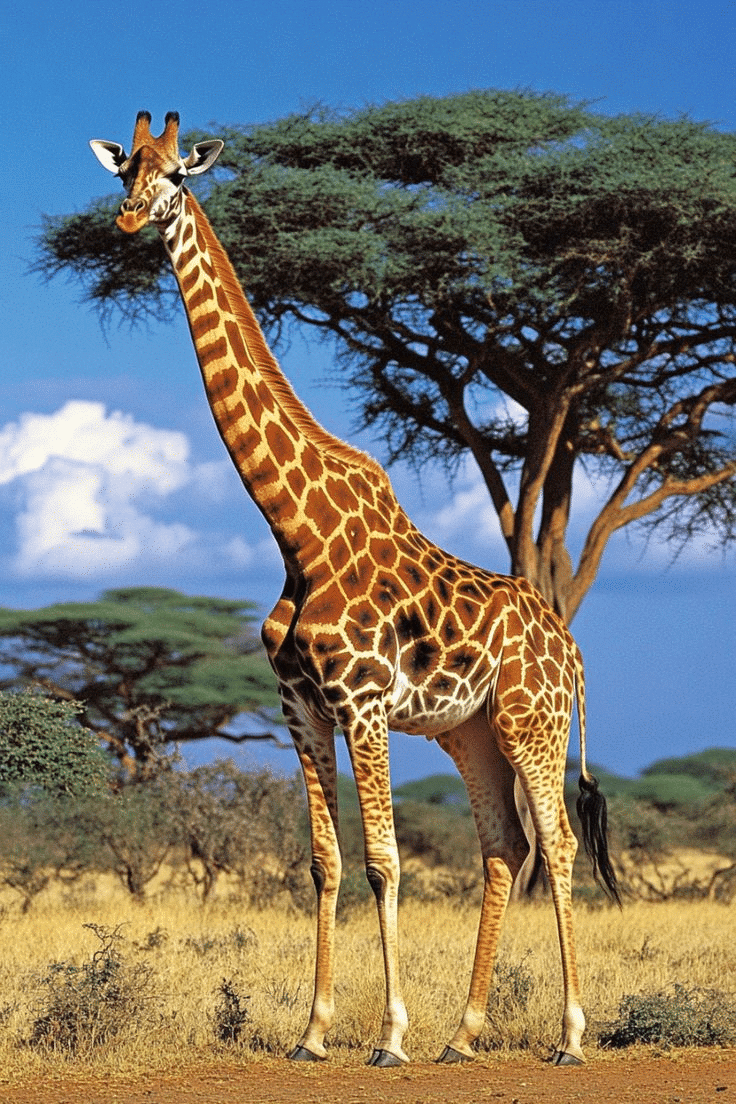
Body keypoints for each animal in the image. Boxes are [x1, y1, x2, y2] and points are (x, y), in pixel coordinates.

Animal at [90, 112, 620, 1069]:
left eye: (177, 177)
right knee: (503, 844)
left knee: (558, 843)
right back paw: (465, 1035)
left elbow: (383, 860)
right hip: (469, 730)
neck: (295, 529)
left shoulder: (363, 704)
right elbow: (324, 862)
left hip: (533, 723)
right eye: (124, 173)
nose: (129, 220)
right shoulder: (300, 704)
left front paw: (390, 1036)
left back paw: (567, 1035)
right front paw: (313, 1032)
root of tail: (571, 648)